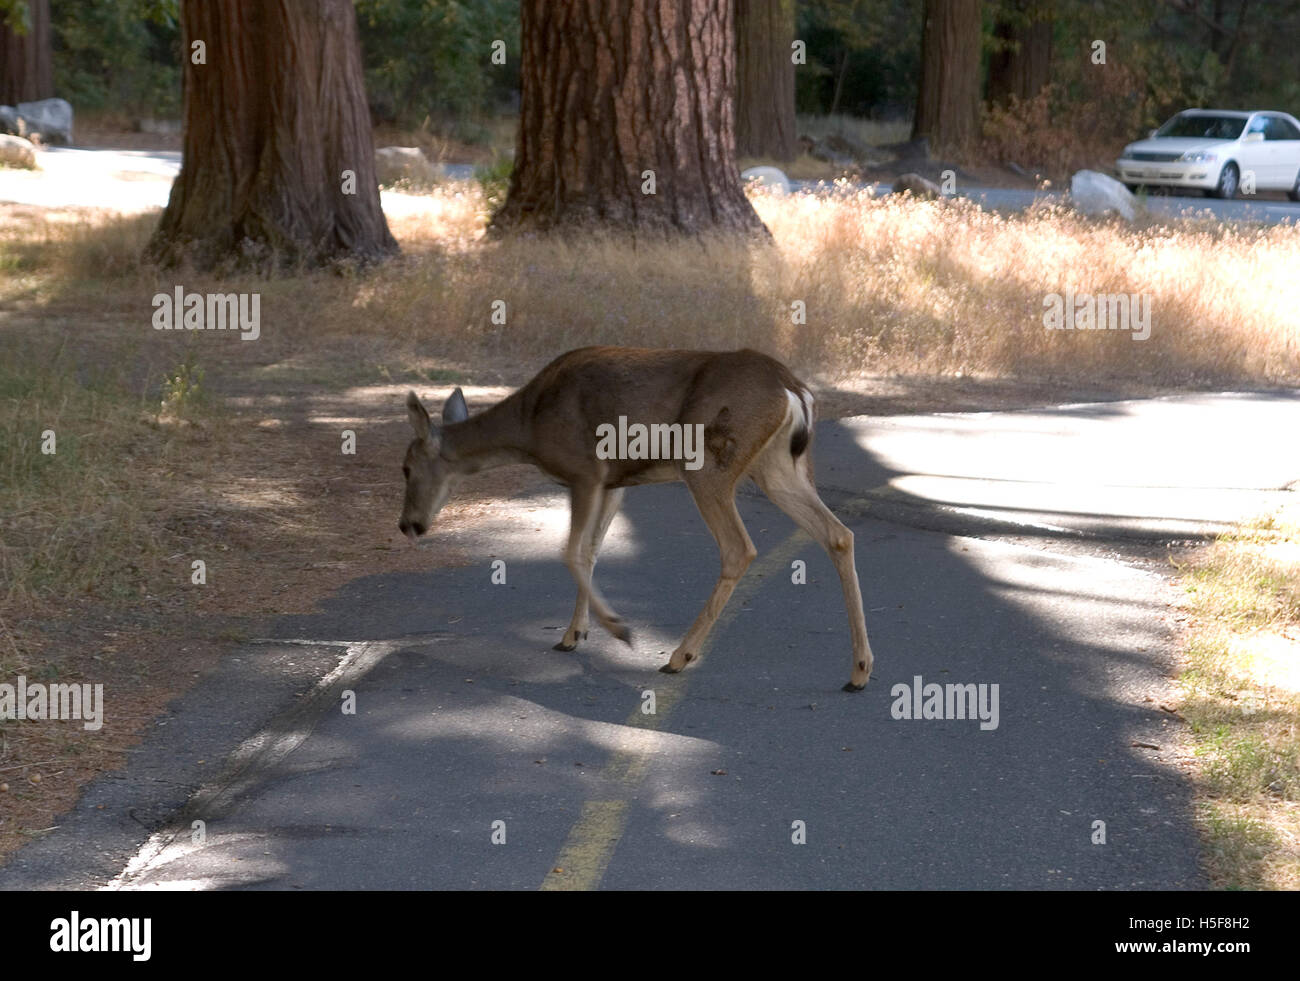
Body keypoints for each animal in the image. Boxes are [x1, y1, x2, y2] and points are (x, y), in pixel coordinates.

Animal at [397, 345, 873, 691]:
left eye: (405, 467)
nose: (406, 524)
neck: (530, 425)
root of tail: (794, 391)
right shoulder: (614, 482)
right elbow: (590, 551)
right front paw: (573, 636)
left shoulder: (585, 470)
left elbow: (570, 551)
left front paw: (618, 630)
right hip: (776, 466)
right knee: (839, 534)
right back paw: (859, 670)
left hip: (709, 463)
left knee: (740, 548)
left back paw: (678, 657)